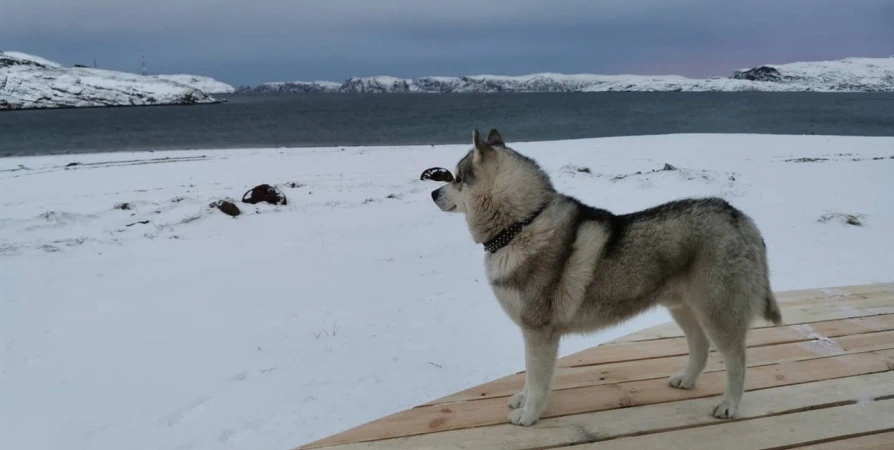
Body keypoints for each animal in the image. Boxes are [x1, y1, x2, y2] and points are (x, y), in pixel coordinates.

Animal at [430, 129, 780, 426]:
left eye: (457, 178)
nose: (433, 192)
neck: (521, 224)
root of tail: (740, 217)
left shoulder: (539, 332)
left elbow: (537, 378)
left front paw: (529, 415)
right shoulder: (533, 332)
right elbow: (530, 376)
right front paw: (523, 400)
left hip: (717, 313)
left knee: (737, 360)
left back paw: (730, 405)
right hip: (683, 308)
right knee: (701, 346)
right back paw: (687, 380)